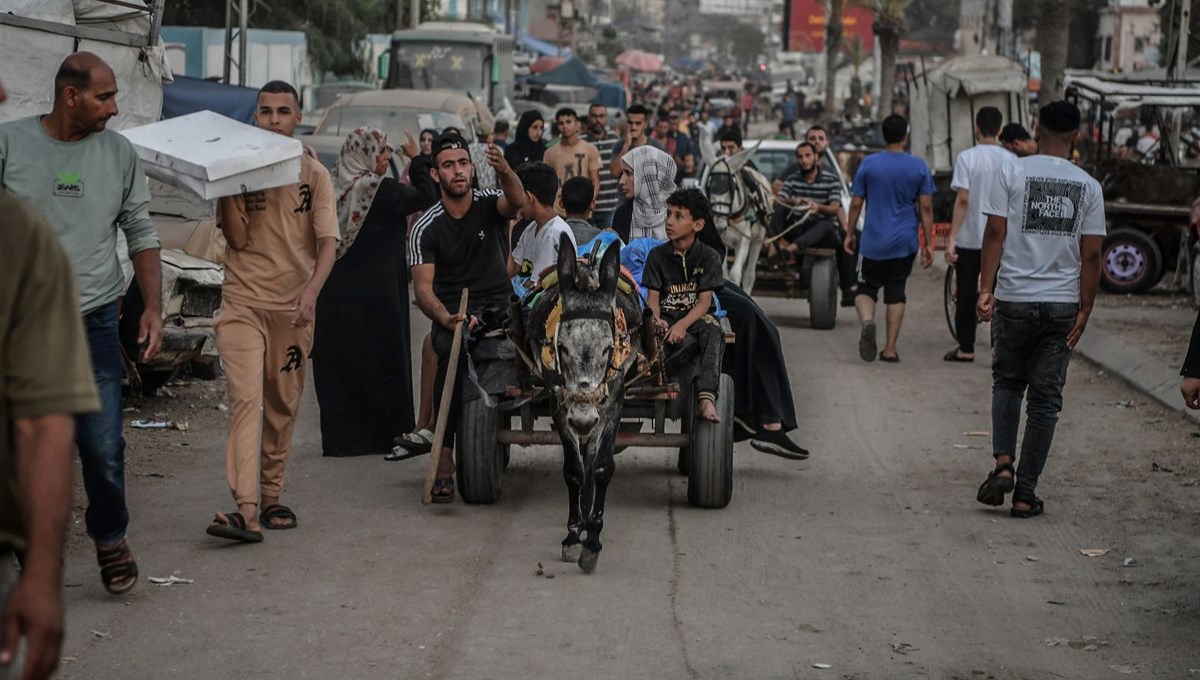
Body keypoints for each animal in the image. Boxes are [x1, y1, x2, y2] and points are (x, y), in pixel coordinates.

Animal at [700, 131, 772, 293]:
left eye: (733, 187)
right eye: (709, 186)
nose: (720, 226)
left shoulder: (744, 239)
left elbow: (735, 273)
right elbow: (724, 272)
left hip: (758, 238)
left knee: (750, 274)